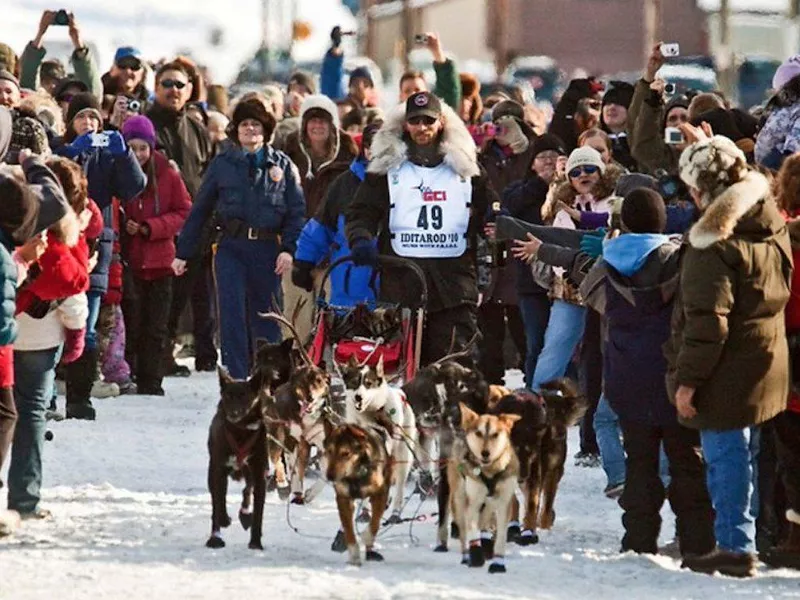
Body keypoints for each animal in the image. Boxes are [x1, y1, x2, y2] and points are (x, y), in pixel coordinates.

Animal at [322, 420, 390, 564]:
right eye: (329, 451)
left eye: (345, 453)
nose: (330, 476)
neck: (355, 476)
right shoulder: (343, 499)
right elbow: (348, 529)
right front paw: (354, 555)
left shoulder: (380, 494)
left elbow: (375, 523)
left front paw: (367, 537)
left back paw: (370, 551)